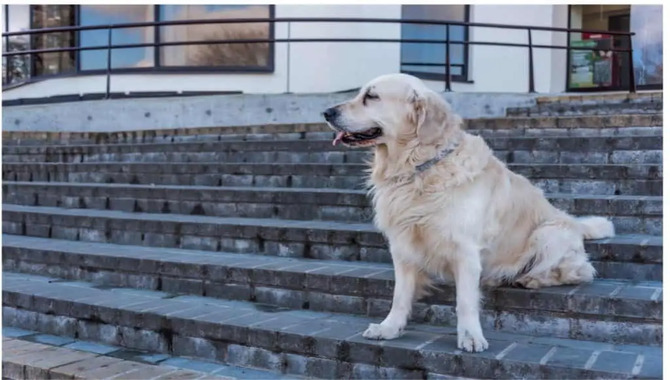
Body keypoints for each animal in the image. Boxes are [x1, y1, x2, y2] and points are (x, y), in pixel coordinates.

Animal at [322, 74, 616, 354]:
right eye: (360, 93)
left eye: (371, 97)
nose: (326, 112)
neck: (418, 169)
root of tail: (573, 222)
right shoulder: (403, 245)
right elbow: (400, 294)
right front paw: (390, 327)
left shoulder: (464, 248)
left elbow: (465, 301)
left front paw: (470, 336)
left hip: (548, 233)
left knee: (579, 271)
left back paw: (529, 278)